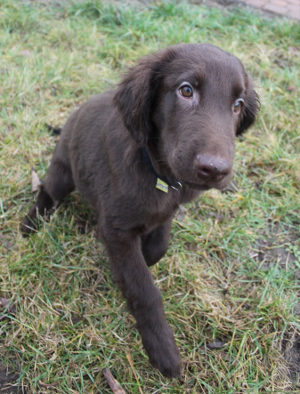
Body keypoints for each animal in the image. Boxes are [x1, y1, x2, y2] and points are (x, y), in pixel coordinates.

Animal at [22, 43, 258, 378]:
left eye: (237, 105)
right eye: (186, 90)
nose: (215, 170)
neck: (157, 170)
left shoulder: (167, 208)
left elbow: (159, 246)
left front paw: (141, 258)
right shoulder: (116, 228)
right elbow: (144, 288)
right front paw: (162, 348)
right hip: (63, 170)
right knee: (48, 191)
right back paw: (31, 223)